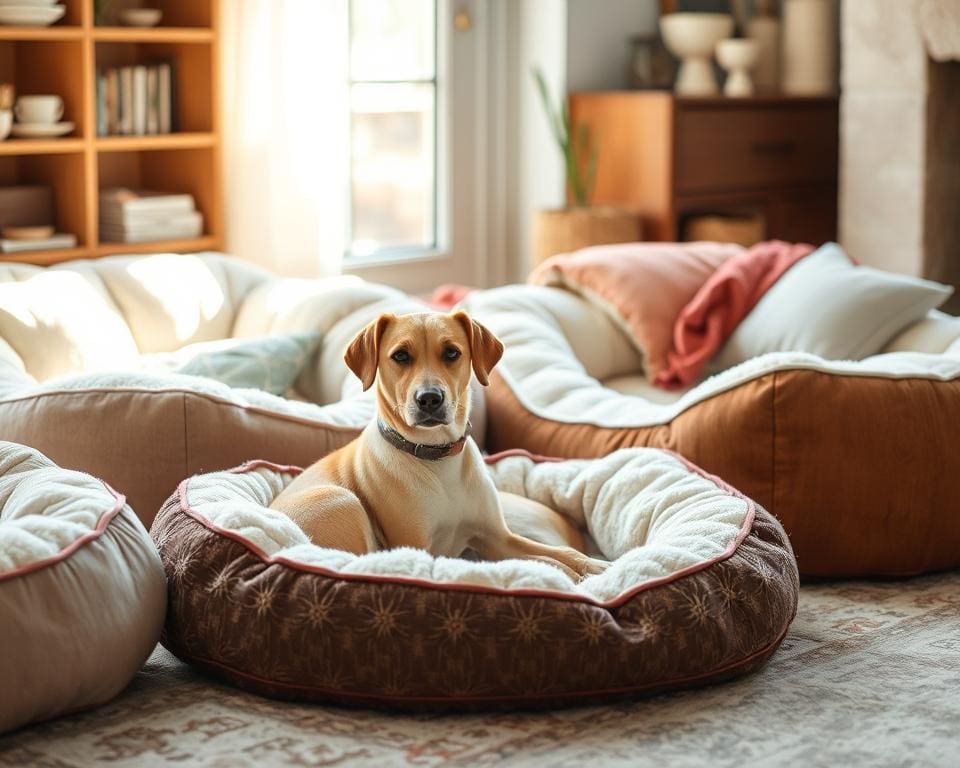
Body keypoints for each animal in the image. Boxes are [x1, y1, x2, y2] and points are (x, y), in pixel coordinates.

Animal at [268, 308, 608, 580]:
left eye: (451, 353)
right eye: (400, 356)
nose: (429, 398)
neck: (438, 459)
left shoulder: (497, 536)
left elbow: (561, 553)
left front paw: (594, 565)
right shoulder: (418, 548)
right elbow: (542, 561)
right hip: (341, 500)